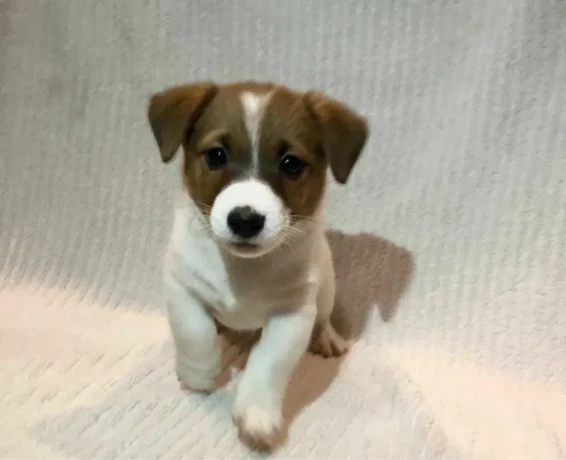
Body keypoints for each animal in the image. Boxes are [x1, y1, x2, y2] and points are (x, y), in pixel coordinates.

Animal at [148, 81, 368, 452]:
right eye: (216, 155)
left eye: (291, 164)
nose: (245, 220)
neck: (243, 269)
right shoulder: (182, 286)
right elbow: (195, 331)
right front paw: (199, 374)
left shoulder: (292, 314)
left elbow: (269, 362)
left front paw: (257, 415)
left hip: (326, 289)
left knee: (324, 317)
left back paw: (327, 338)